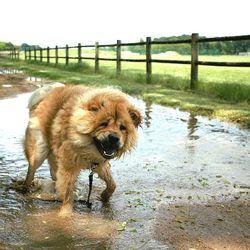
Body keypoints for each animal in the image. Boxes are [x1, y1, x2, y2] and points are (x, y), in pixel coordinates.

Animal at [23, 84, 142, 215]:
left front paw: (104, 196)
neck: (87, 149)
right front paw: (65, 215)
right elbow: (67, 194)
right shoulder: (69, 165)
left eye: (122, 128)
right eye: (103, 124)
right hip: (39, 152)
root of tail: (47, 93)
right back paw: (26, 190)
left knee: (54, 174)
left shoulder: (99, 163)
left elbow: (112, 184)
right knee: (30, 172)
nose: (114, 137)